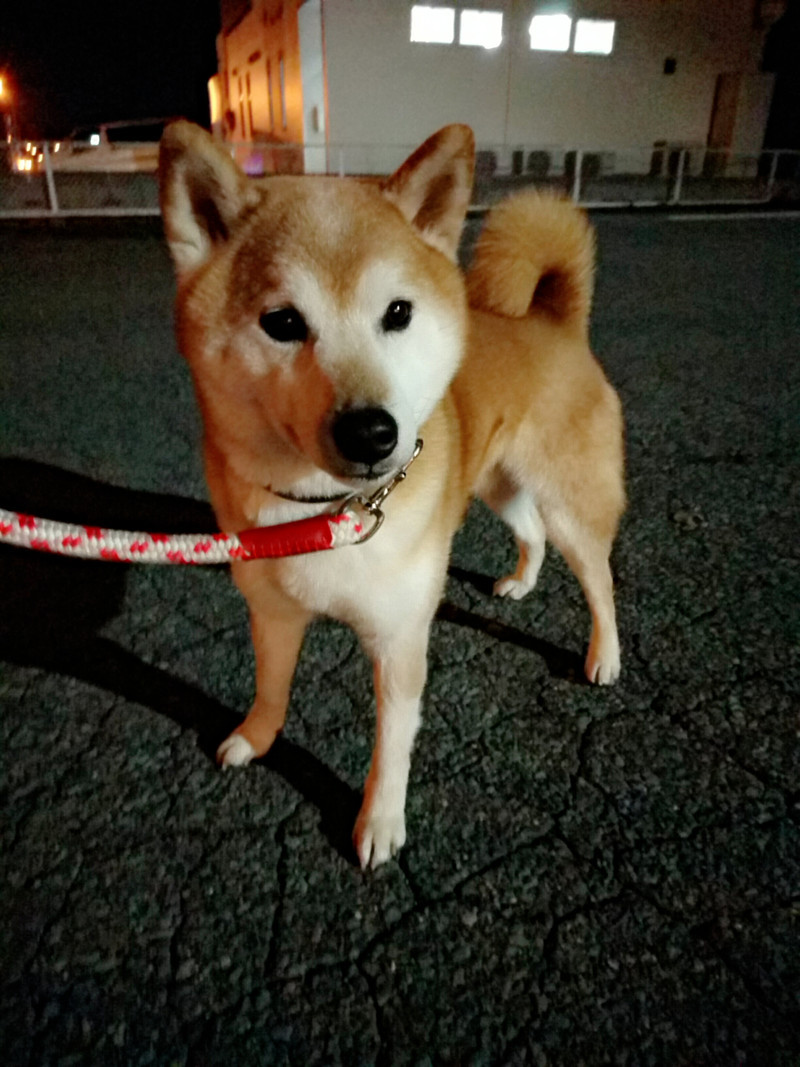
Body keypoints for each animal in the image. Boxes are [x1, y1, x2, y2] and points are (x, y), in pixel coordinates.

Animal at [160, 118, 627, 866]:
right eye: (282, 322)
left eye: (398, 312)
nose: (373, 431)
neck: (325, 512)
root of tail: (555, 322)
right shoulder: (273, 613)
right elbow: (271, 686)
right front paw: (256, 738)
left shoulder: (399, 637)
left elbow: (392, 747)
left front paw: (379, 822)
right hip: (497, 484)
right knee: (529, 532)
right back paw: (521, 582)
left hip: (570, 503)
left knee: (598, 579)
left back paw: (603, 656)